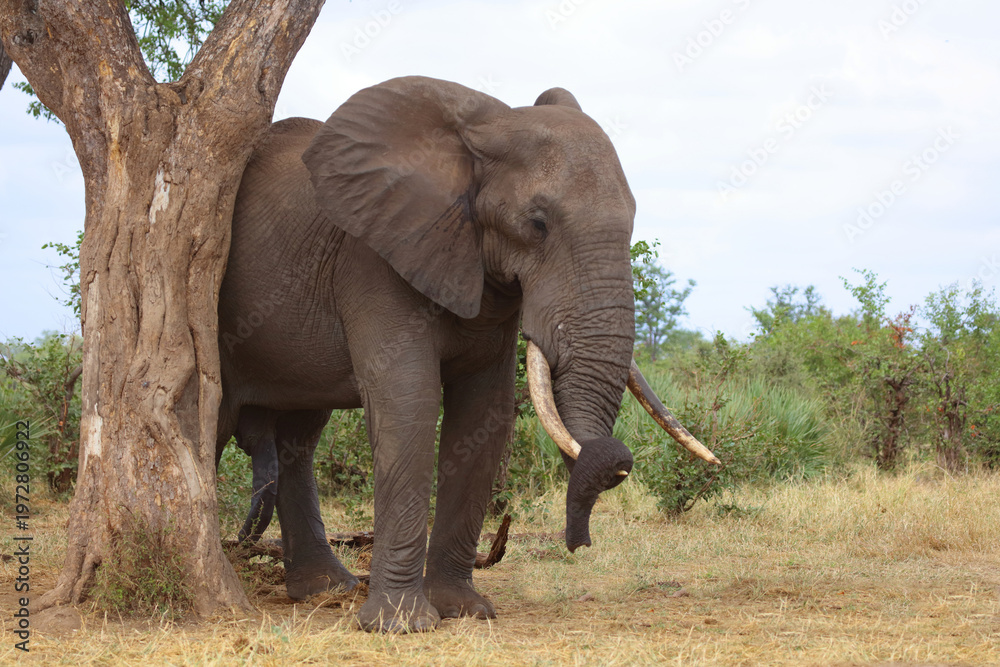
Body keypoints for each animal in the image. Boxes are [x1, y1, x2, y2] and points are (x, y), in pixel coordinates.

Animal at [215, 76, 718, 633]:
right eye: (537, 223)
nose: (579, 544)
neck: (488, 127)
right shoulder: (375, 255)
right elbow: (409, 402)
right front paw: (401, 626)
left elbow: (484, 413)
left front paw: (466, 611)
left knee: (300, 436)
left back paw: (326, 590)